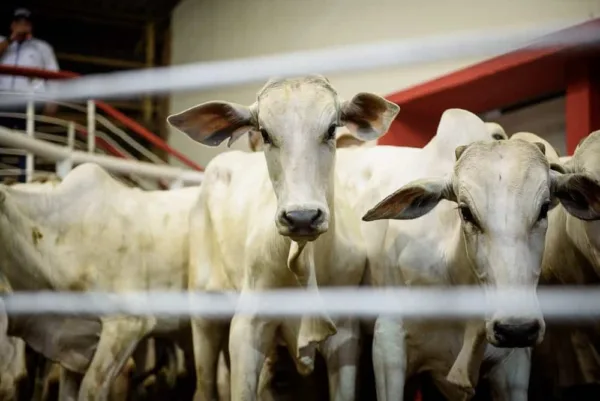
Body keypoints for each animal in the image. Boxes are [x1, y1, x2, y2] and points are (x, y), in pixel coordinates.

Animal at [166, 75, 400, 400]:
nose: (302, 216)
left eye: (331, 129)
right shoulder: (247, 328)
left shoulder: (345, 335)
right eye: (265, 133)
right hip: (203, 312)